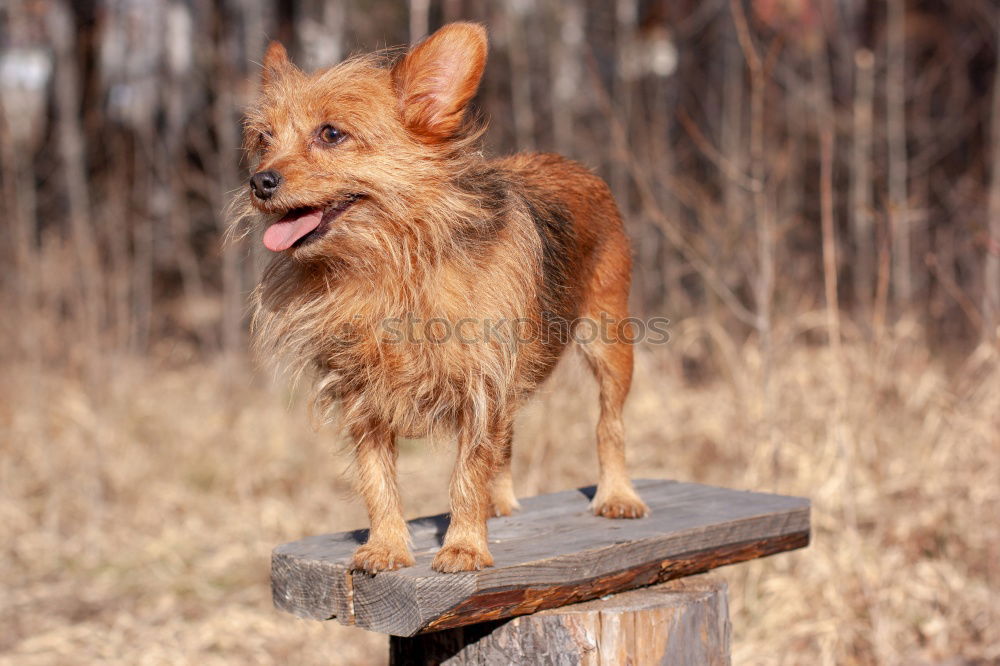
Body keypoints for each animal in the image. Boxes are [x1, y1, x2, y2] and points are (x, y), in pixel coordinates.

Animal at [232, 22, 648, 572]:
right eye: (264, 140)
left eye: (331, 134)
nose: (259, 181)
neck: (390, 265)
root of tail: (567, 161)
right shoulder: (362, 395)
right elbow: (377, 477)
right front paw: (387, 545)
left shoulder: (483, 384)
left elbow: (468, 472)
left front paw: (464, 545)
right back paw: (500, 501)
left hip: (609, 346)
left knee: (609, 423)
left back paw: (617, 494)